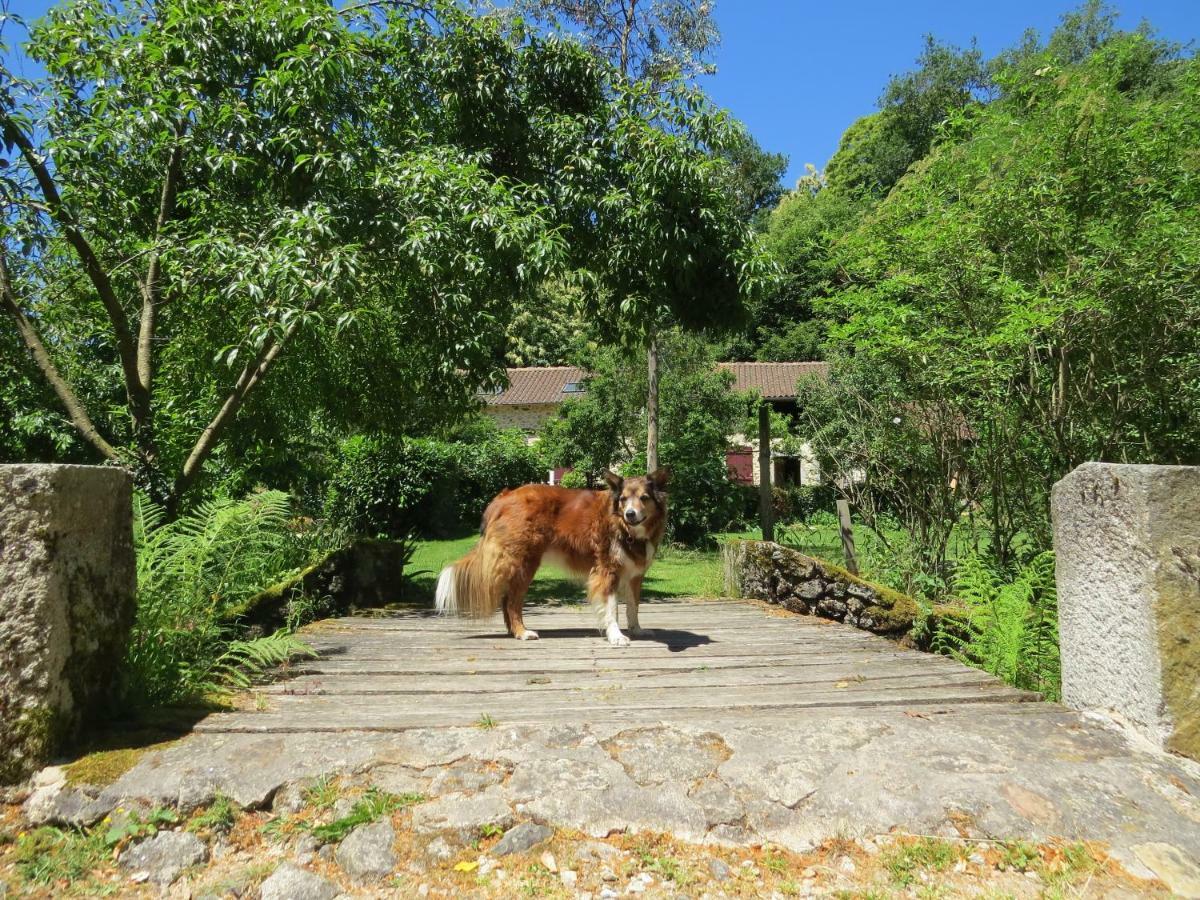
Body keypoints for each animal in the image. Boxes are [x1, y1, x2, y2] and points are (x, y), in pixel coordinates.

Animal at [436, 468, 672, 643]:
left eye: (644, 498)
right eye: (623, 499)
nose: (630, 514)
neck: (624, 527)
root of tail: (504, 497)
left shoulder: (634, 575)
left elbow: (633, 606)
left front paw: (637, 629)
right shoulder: (607, 571)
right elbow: (611, 608)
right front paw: (616, 636)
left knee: (506, 599)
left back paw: (514, 632)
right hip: (524, 563)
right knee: (512, 601)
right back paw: (522, 632)